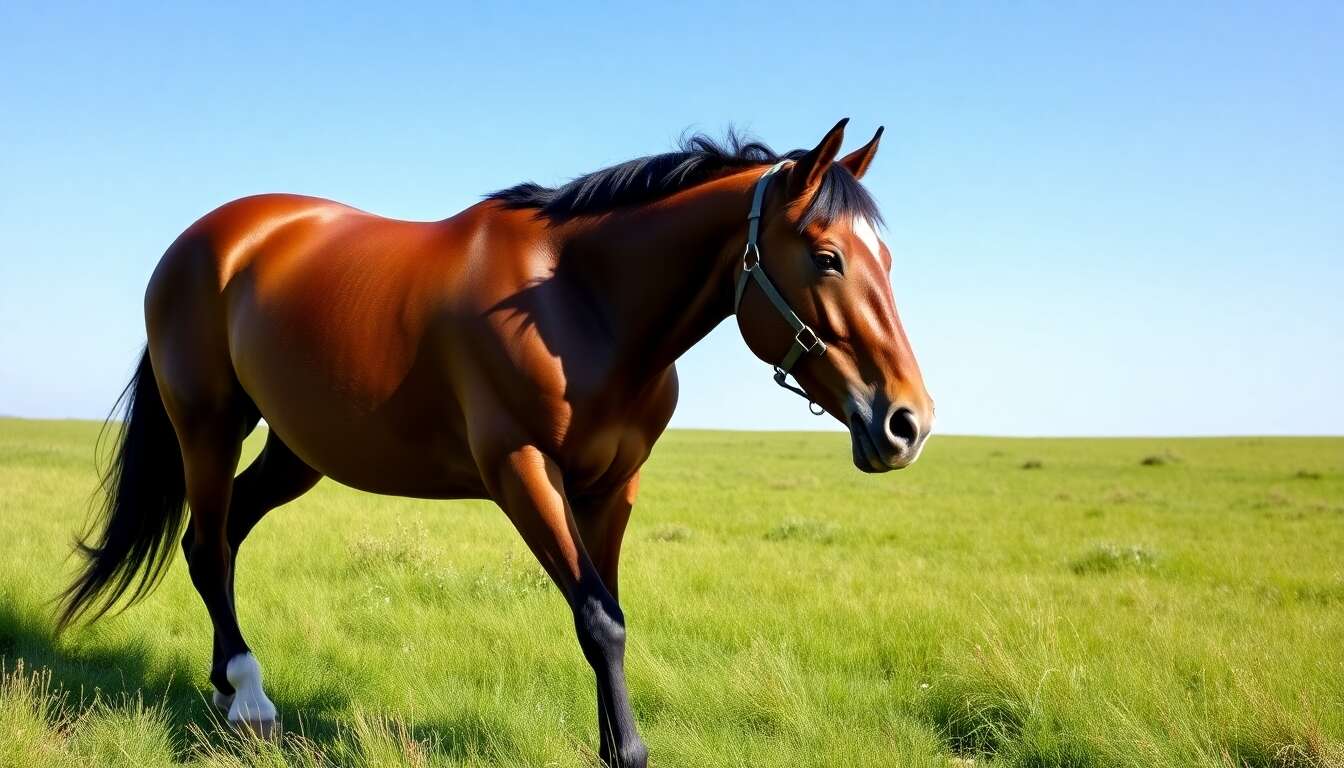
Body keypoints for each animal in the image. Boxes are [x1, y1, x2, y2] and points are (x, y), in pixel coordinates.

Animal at [56, 118, 932, 767]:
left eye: (887, 257)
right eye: (826, 257)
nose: (908, 424)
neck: (578, 302)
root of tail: (207, 238)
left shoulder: (612, 487)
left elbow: (608, 611)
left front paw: (613, 746)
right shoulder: (522, 472)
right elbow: (599, 619)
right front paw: (627, 751)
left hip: (296, 452)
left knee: (224, 536)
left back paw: (224, 687)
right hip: (207, 424)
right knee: (208, 545)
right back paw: (250, 700)